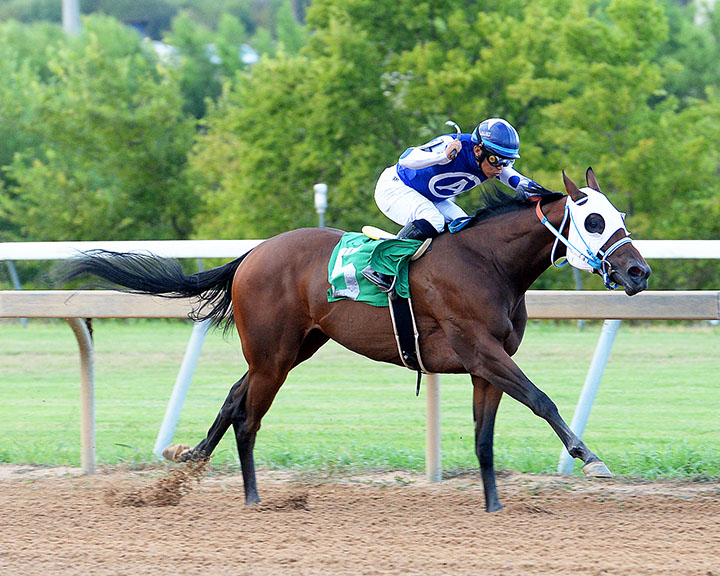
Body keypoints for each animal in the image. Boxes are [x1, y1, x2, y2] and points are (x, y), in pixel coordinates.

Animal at [61, 168, 651, 512]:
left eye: (619, 215)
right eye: (593, 221)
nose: (638, 272)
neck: (488, 262)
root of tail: (251, 255)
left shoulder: (488, 364)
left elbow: (485, 437)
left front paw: (494, 506)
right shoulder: (480, 350)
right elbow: (541, 398)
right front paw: (587, 455)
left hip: (291, 349)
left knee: (233, 398)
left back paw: (189, 460)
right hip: (275, 355)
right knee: (248, 417)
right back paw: (253, 499)